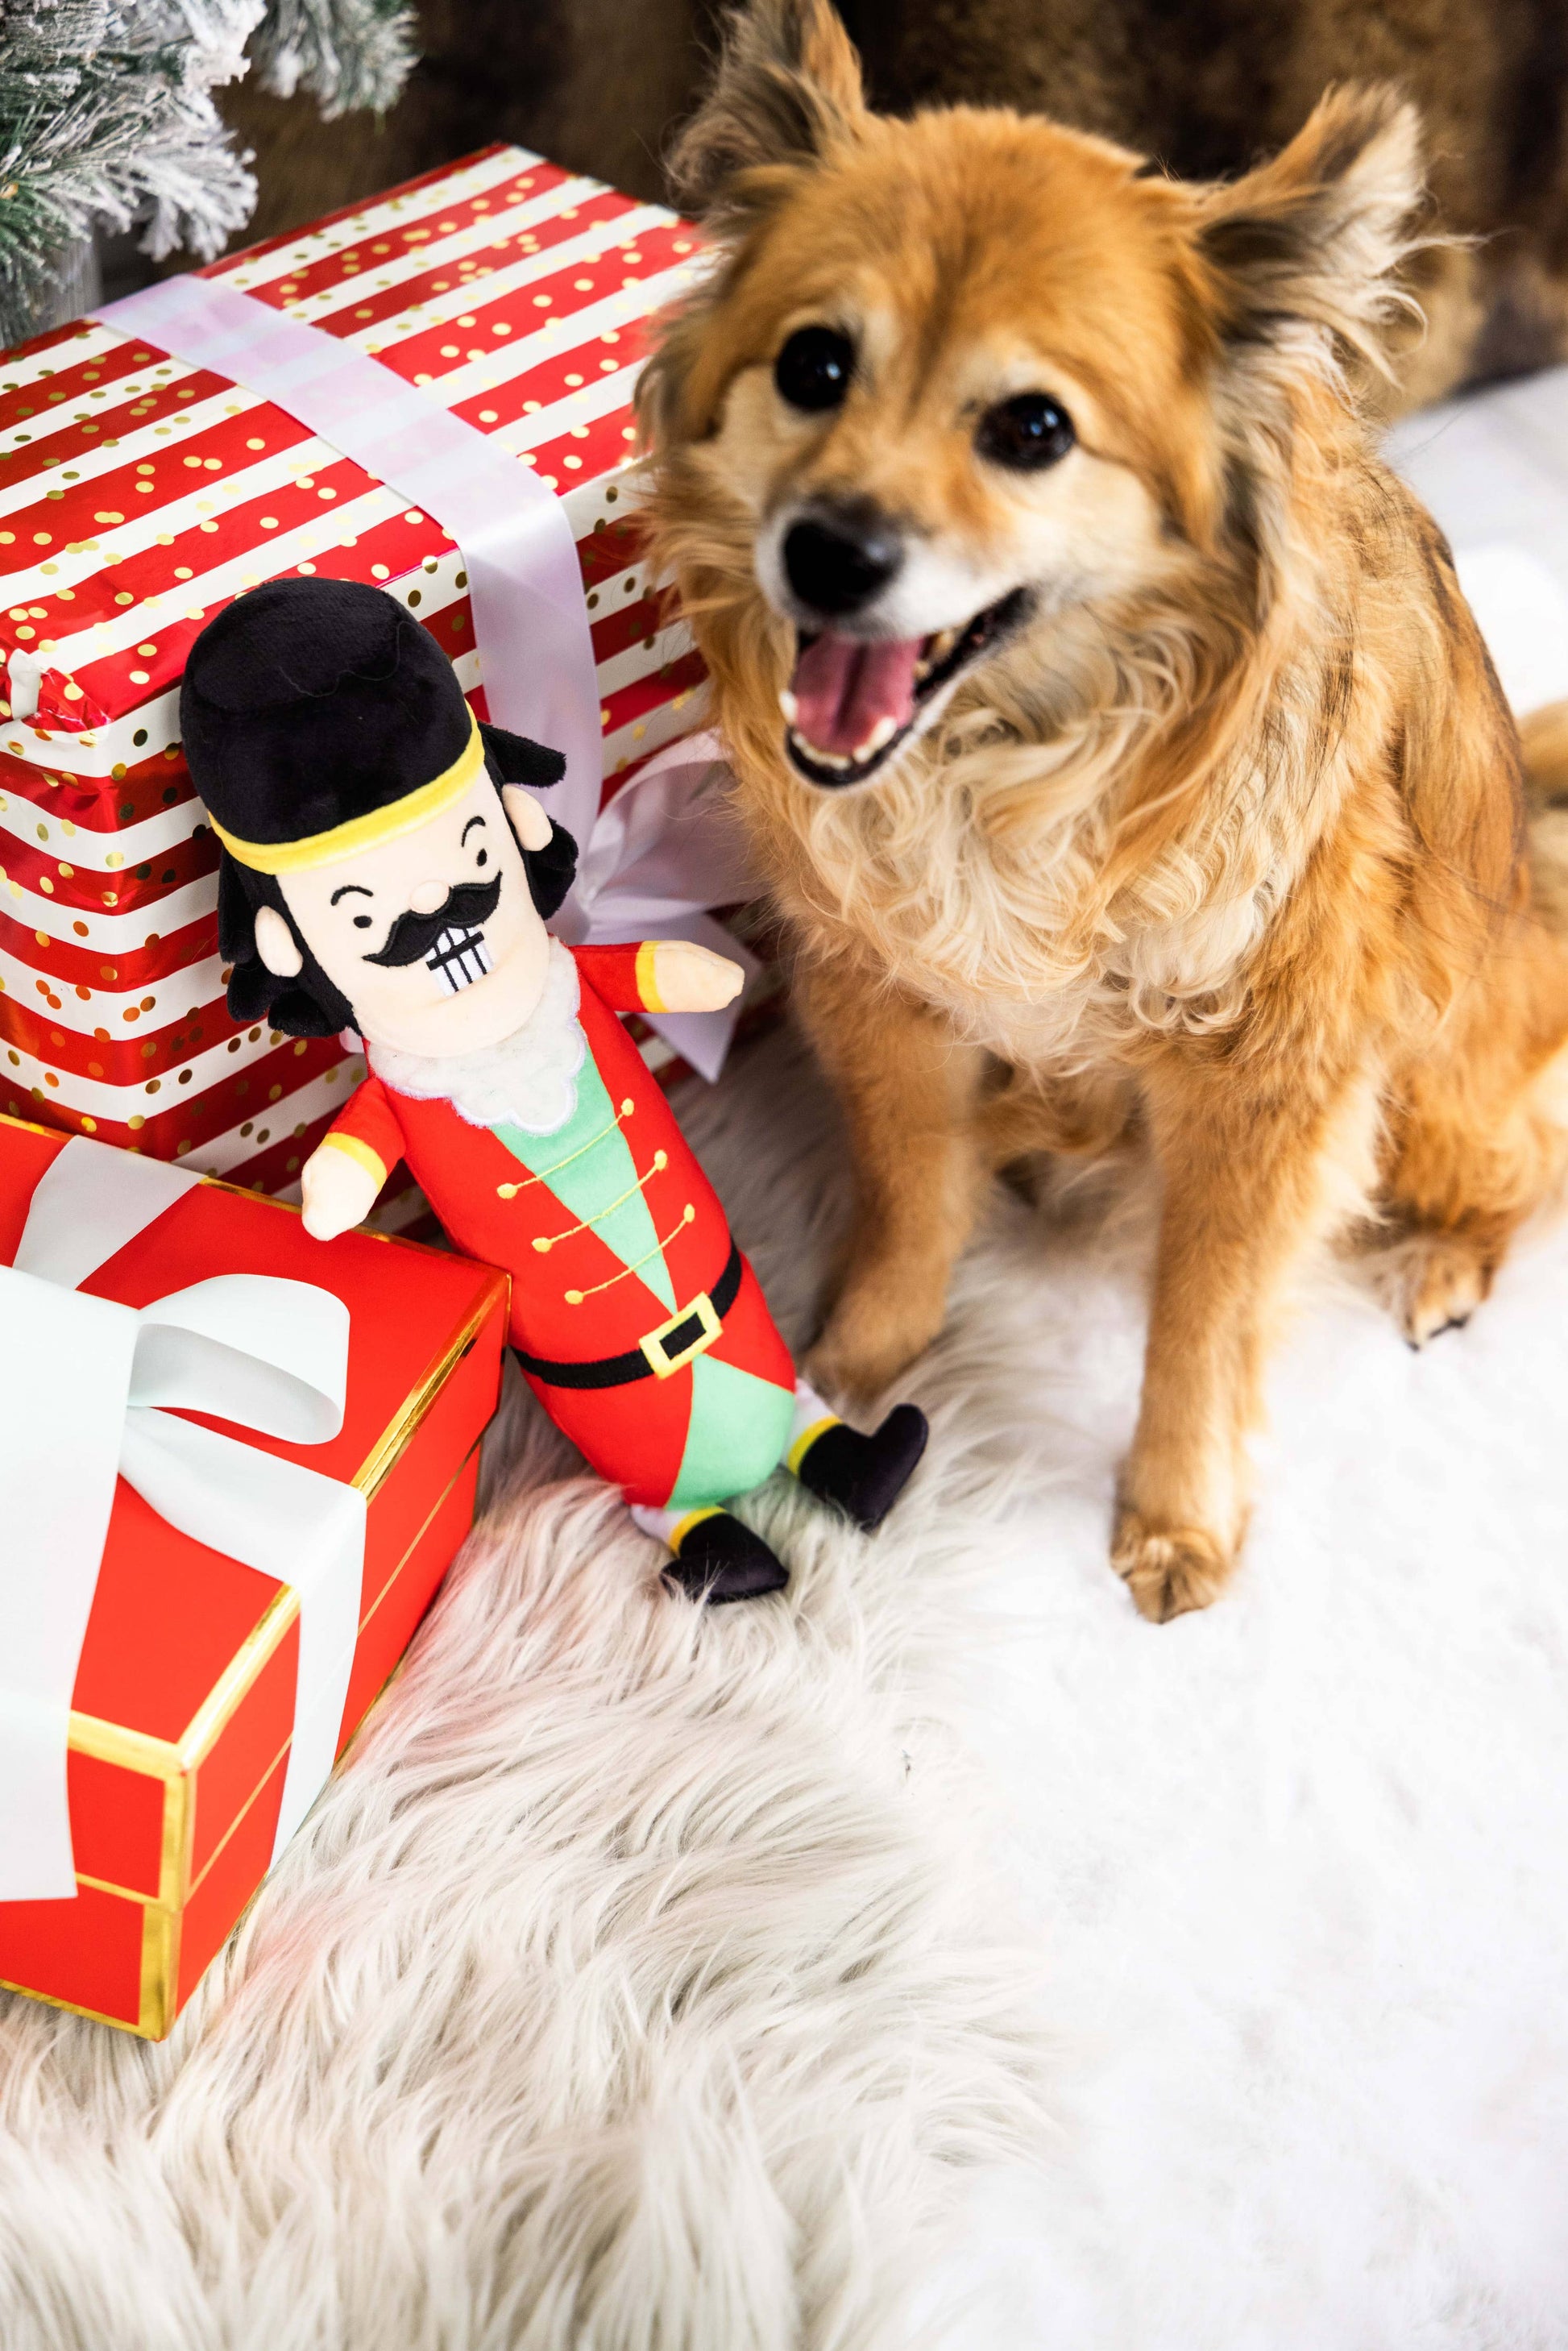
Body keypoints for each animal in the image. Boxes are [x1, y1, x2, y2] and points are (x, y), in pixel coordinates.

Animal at [629, 0, 1568, 1617]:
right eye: (814, 367)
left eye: (1031, 429)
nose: (827, 550)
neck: (1008, 767)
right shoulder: (886, 999)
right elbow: (909, 1199)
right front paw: (857, 1363)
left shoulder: (1266, 1093)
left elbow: (1202, 1317)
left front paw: (1177, 1513)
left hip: (1444, 1072)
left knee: (1523, 1164)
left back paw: (1445, 1265)